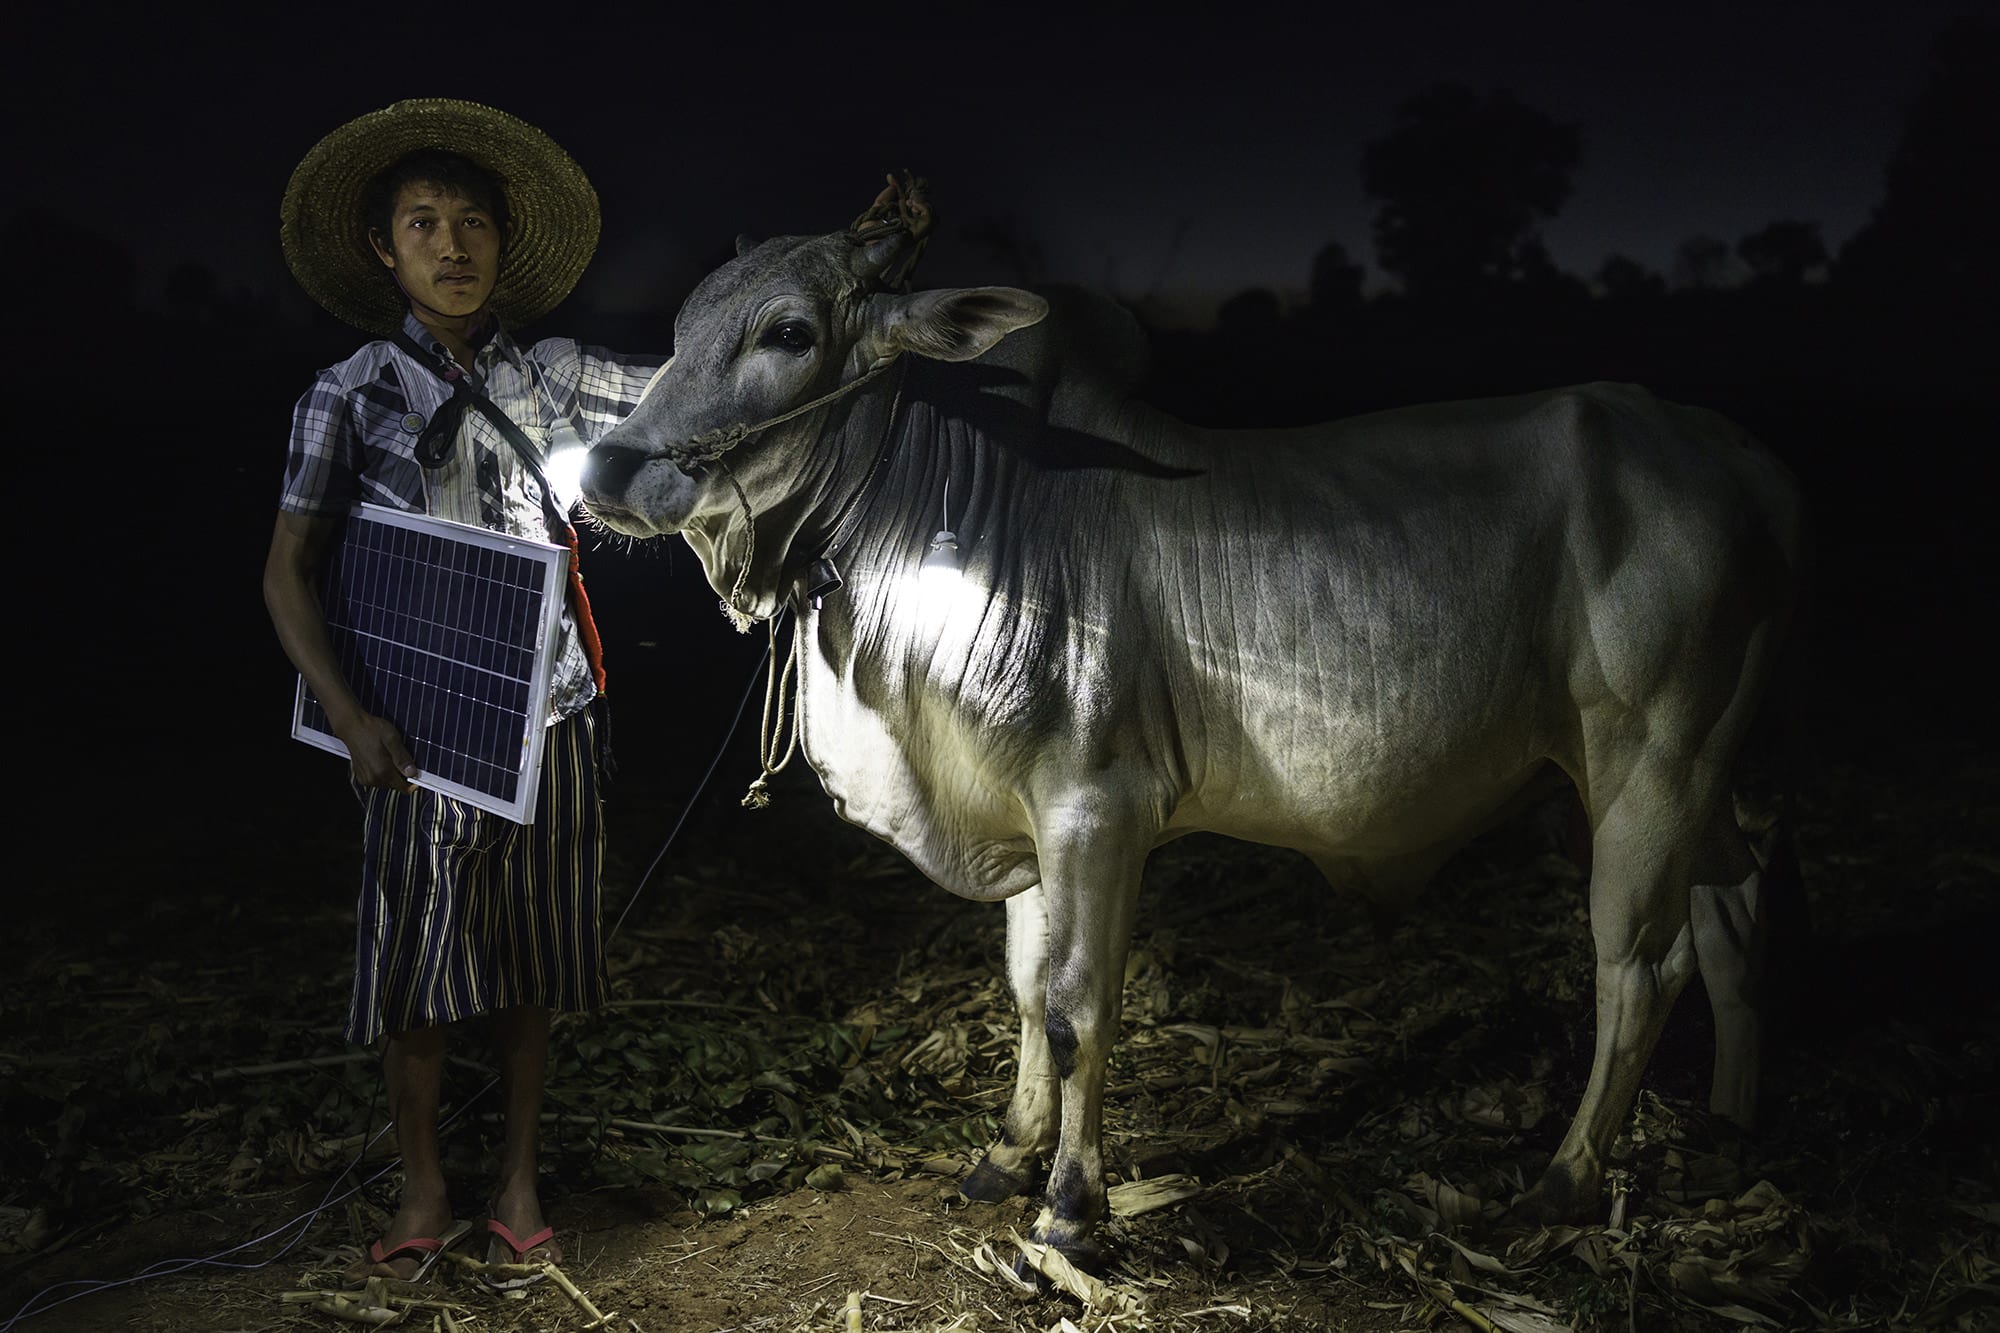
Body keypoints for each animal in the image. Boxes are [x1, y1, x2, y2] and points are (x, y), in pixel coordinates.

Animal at [580, 184, 1816, 1256]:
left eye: (788, 331)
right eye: (683, 325)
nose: (605, 470)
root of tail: (1743, 461)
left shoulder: (1097, 810)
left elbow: (1077, 1006)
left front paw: (1069, 1206)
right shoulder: (1025, 818)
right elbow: (1024, 991)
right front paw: (1005, 1154)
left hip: (1648, 764)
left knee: (1639, 966)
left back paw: (1564, 1178)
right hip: (1661, 777)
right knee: (1734, 908)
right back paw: (1729, 1125)